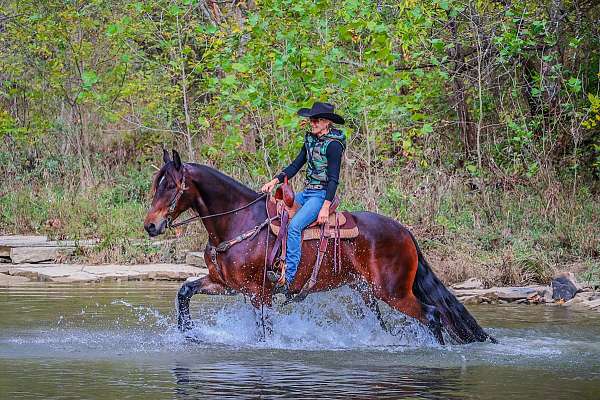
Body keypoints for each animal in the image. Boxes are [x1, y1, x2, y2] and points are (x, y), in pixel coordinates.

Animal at [143, 149, 494, 344]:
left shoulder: (259, 293)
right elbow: (184, 292)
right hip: (366, 292)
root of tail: (405, 232)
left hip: (393, 292)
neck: (238, 220)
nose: (150, 225)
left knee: (433, 315)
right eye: (156, 184)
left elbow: (263, 332)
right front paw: (188, 334)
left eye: (171, 186)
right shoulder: (226, 284)